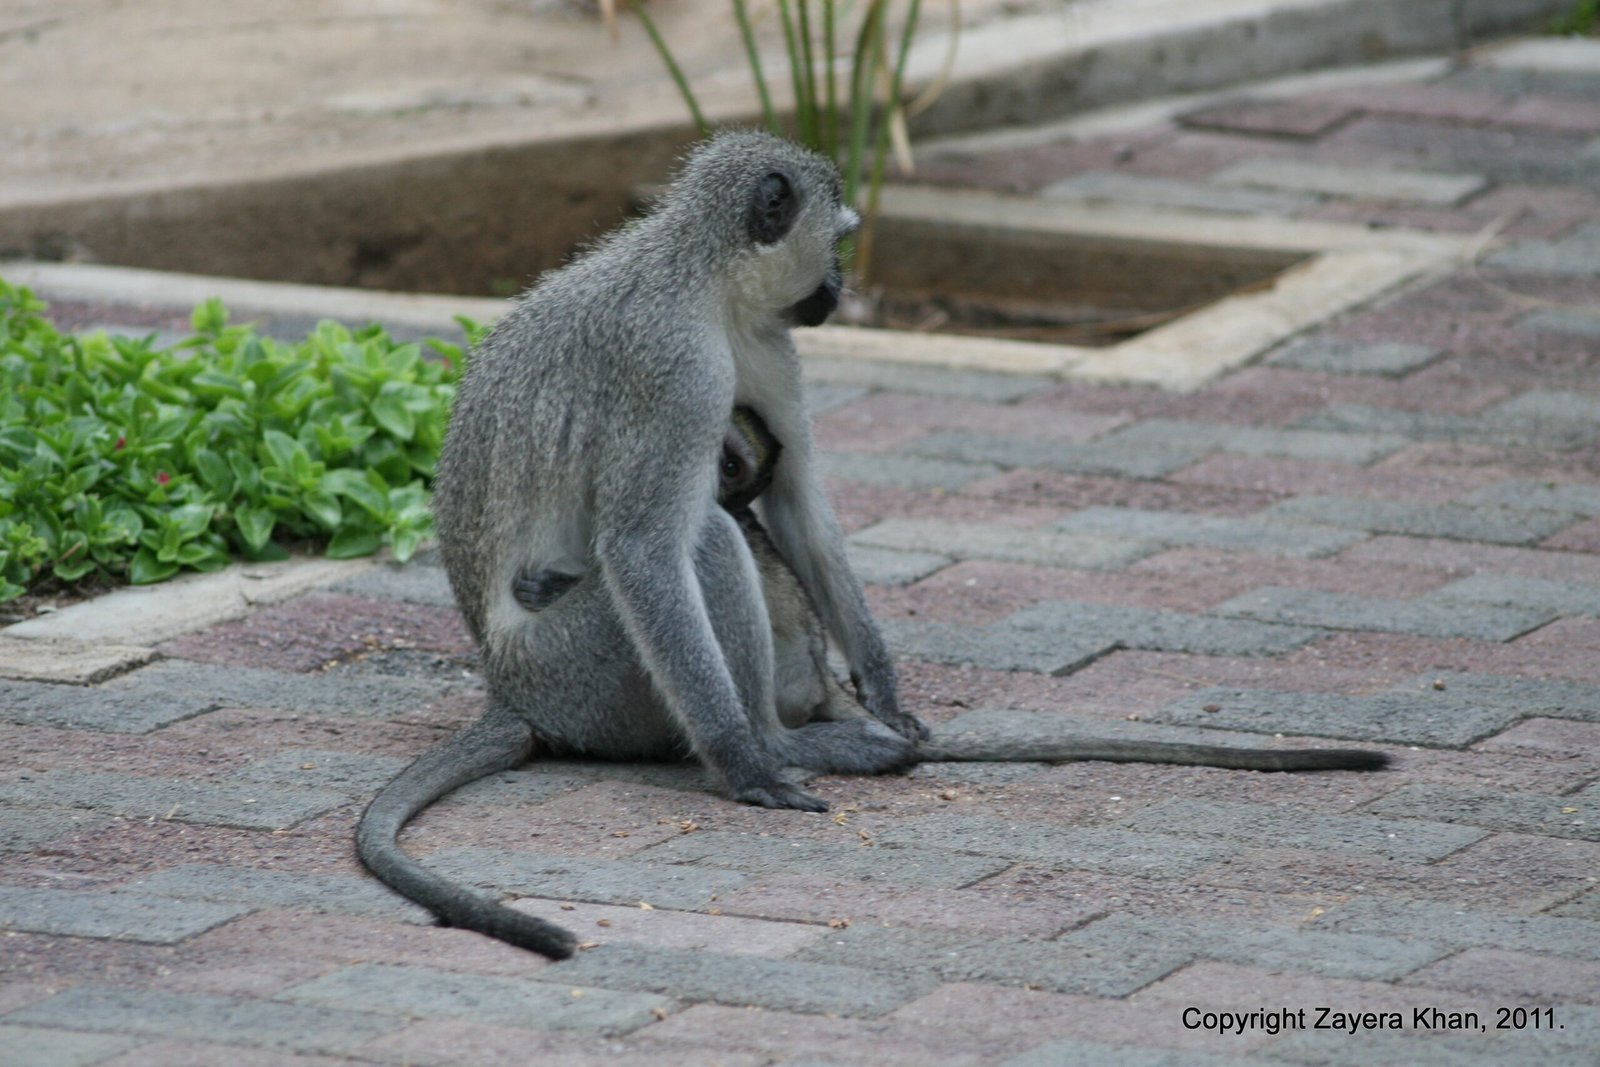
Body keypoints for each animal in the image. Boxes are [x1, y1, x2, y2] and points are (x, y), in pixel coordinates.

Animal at [357, 133, 1388, 962]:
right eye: (841, 238)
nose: (842, 289)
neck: (706, 282)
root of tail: (512, 691)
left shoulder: (765, 349)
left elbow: (802, 503)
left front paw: (886, 687)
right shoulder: (676, 371)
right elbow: (648, 546)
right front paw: (744, 762)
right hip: (582, 669)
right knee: (706, 544)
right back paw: (776, 743)